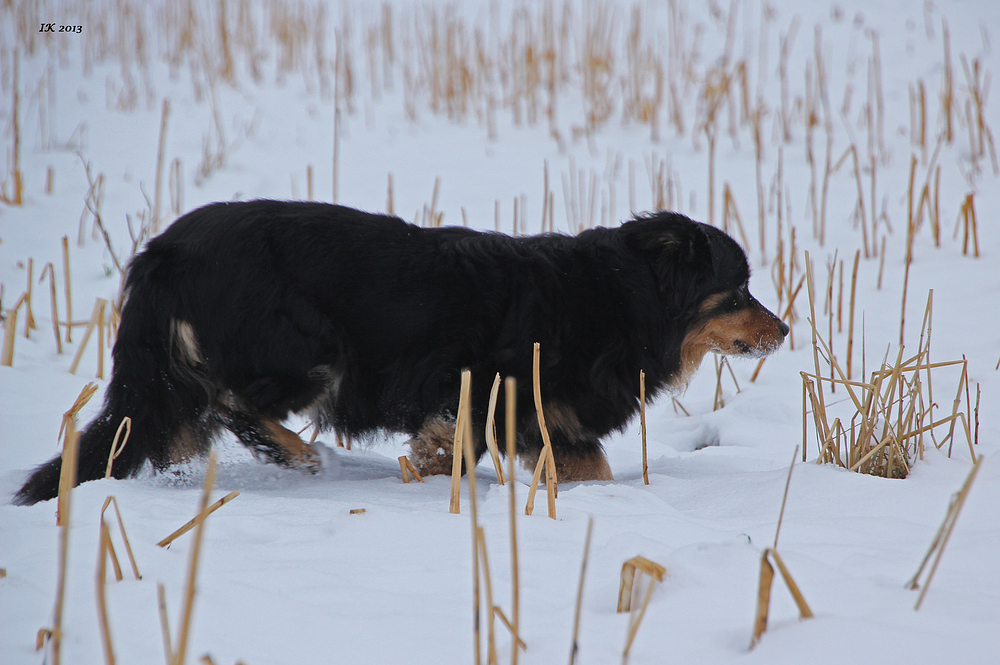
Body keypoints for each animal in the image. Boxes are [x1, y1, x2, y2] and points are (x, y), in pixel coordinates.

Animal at [11, 202, 784, 504]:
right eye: (739, 289)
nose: (784, 332)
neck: (622, 293)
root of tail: (164, 251)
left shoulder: (539, 416)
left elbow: (580, 468)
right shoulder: (499, 391)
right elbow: (464, 444)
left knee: (175, 423)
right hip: (308, 346)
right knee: (230, 403)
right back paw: (300, 456)